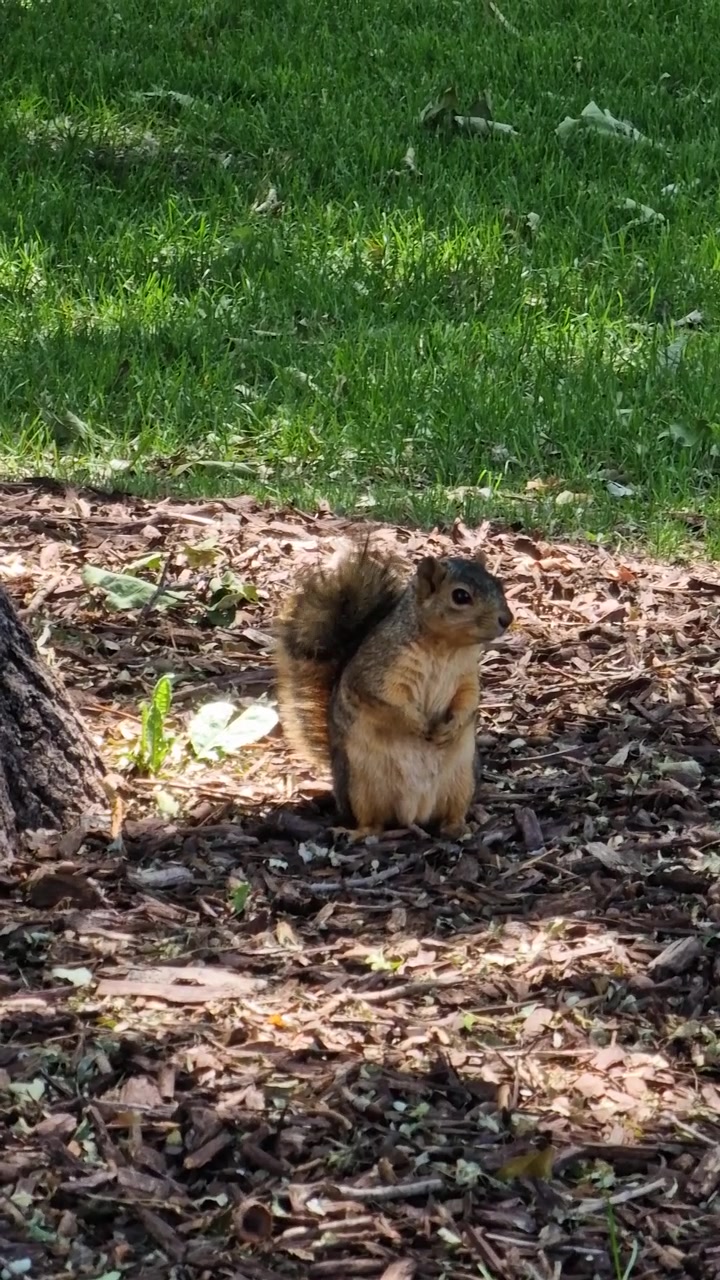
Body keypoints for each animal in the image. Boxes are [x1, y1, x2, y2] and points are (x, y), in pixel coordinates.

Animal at [273, 540, 513, 842]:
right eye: (461, 596)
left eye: (498, 583)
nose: (507, 619)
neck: (446, 647)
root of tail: (415, 812)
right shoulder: (379, 672)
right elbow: (389, 702)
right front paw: (419, 725)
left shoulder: (467, 677)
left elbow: (468, 700)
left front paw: (450, 727)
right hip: (361, 786)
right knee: (373, 822)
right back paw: (356, 832)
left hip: (463, 780)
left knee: (451, 814)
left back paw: (459, 827)